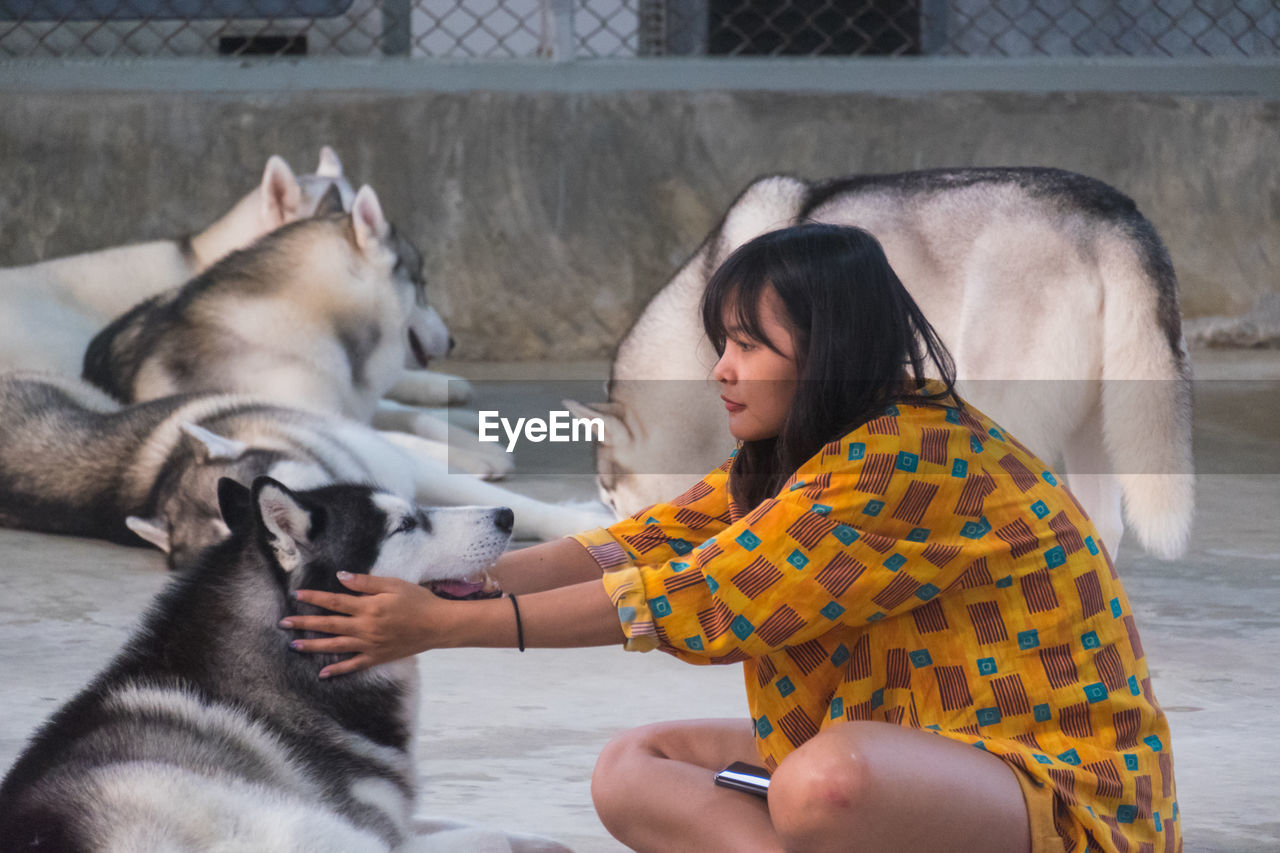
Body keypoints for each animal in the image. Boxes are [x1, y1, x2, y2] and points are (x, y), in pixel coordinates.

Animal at [565, 169, 1192, 560]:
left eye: (610, 497)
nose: (606, 524)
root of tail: (1111, 218)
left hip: (1002, 399)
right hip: (1098, 421)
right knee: (1099, 520)